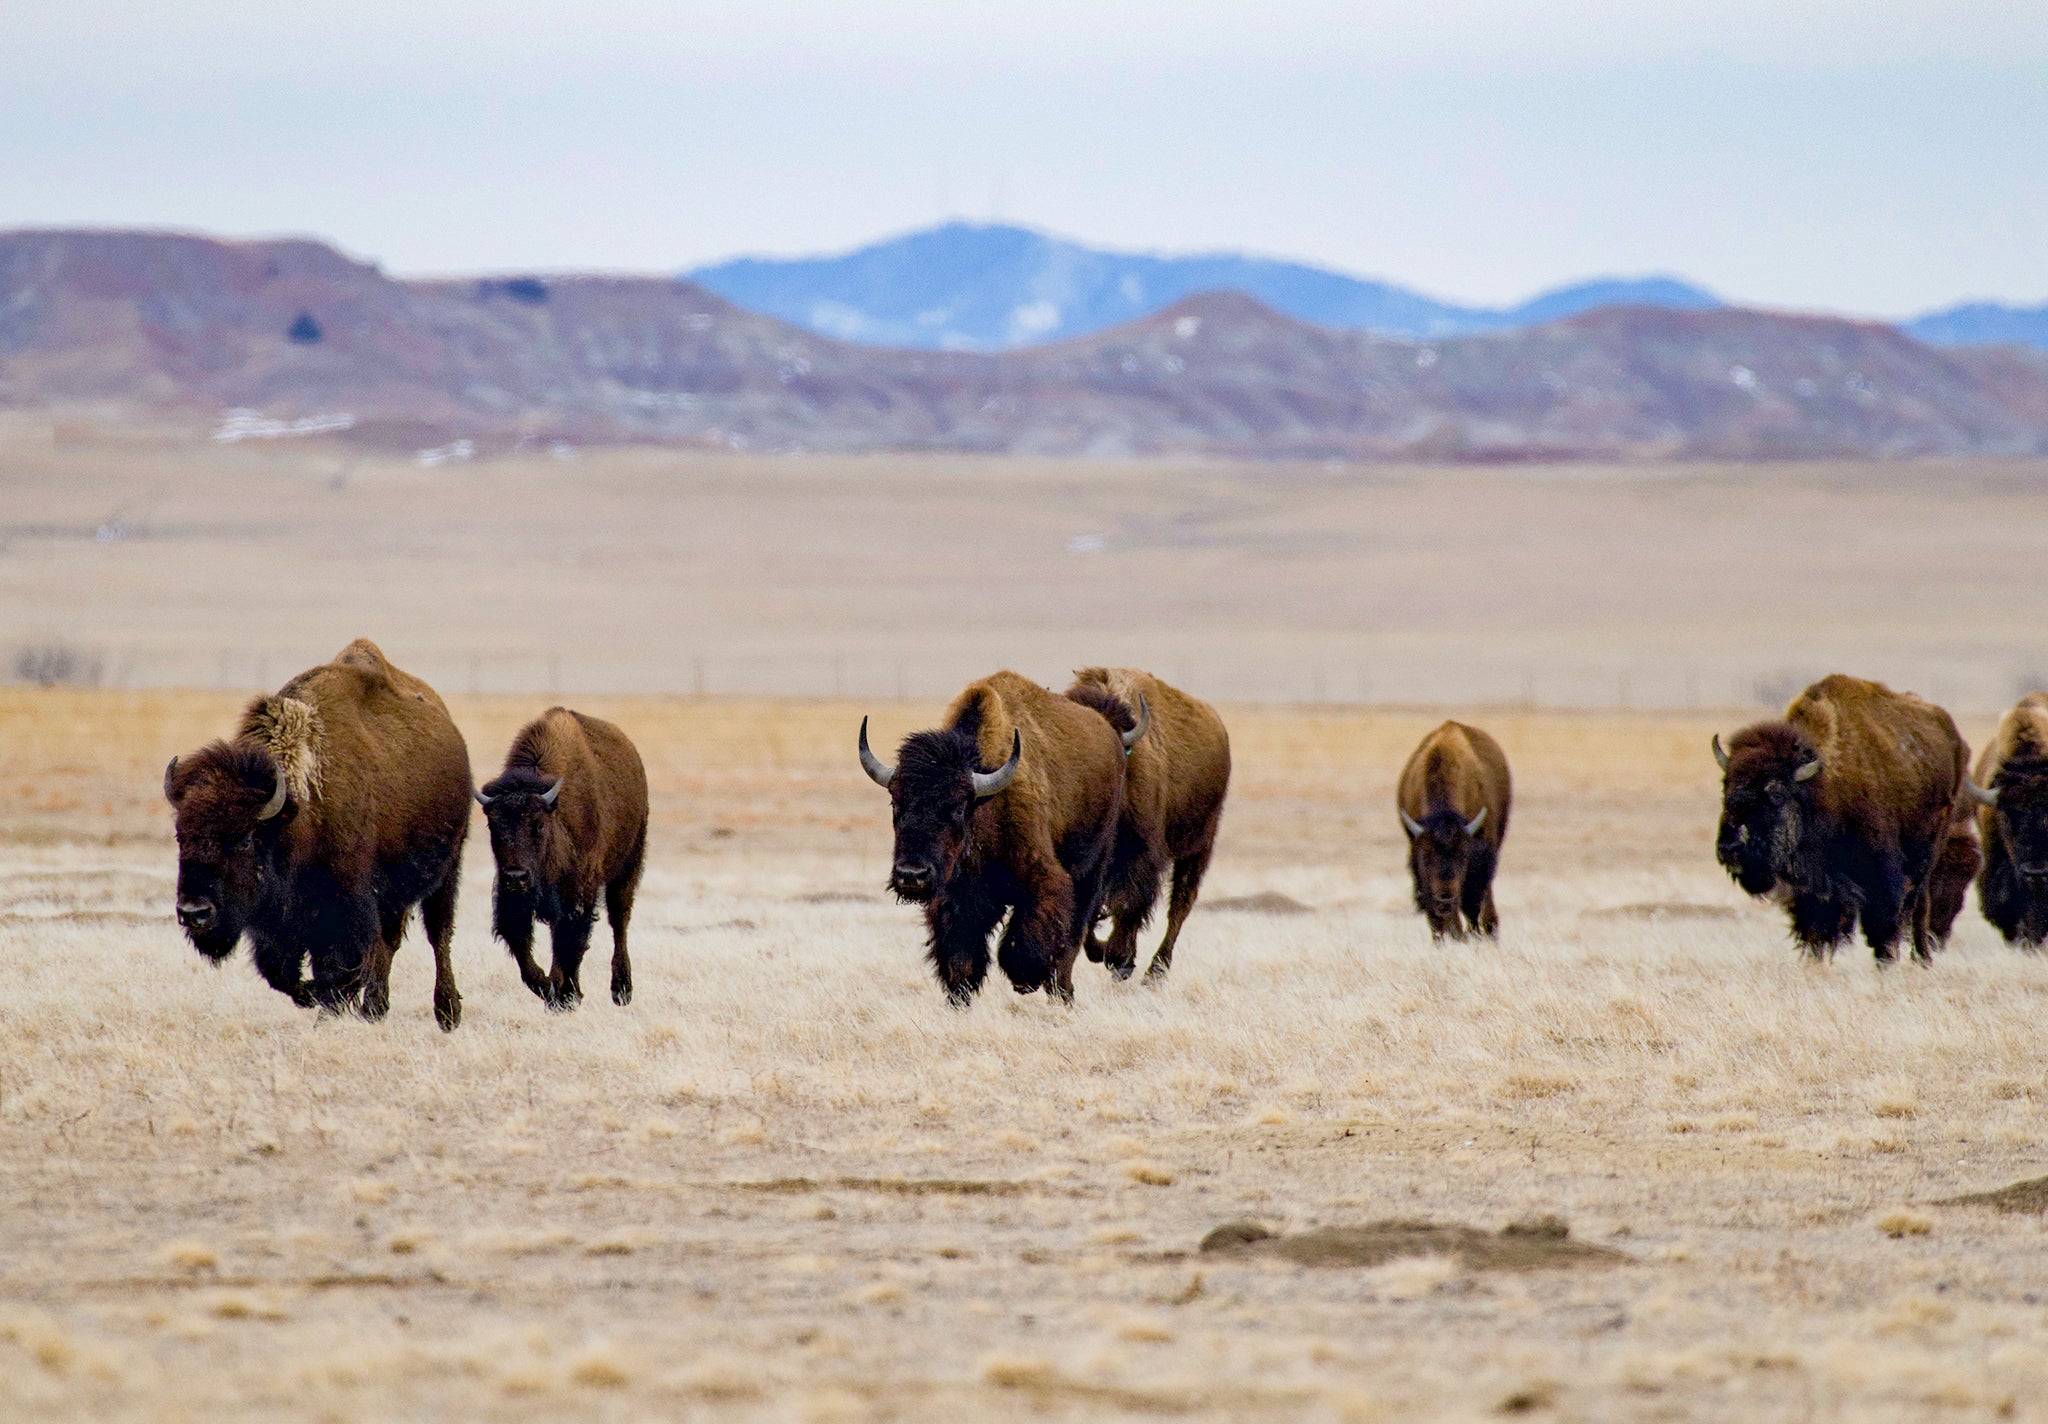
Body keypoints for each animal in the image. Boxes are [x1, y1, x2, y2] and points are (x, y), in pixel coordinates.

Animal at [161, 639, 473, 1028]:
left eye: (246, 839)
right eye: (180, 836)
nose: (194, 913)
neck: (296, 811)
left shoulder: (344, 908)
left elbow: (337, 967)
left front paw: (329, 1008)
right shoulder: (279, 925)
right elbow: (282, 973)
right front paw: (318, 998)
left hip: (448, 868)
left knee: (438, 935)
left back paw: (447, 1013)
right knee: (390, 940)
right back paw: (374, 1009)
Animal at [860, 672, 1130, 1008]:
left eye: (959, 807)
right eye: (895, 803)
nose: (912, 875)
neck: (986, 801)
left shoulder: (1042, 879)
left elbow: (1024, 942)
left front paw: (1024, 982)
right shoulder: (957, 897)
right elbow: (960, 954)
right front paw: (959, 998)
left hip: (1091, 867)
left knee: (1074, 931)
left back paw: (1062, 992)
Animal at [1064, 663, 1220, 979]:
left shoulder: (1143, 855)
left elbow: (1127, 904)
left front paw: (1118, 958)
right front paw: (1110, 954)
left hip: (1198, 847)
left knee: (1180, 905)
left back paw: (1154, 971)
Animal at [1712, 672, 1966, 962]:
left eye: (1776, 793)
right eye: (1725, 787)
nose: (1730, 847)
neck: (1820, 786)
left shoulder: (1881, 874)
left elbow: (1882, 925)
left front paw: (1886, 963)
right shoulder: (1813, 889)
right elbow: (1815, 928)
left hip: (1929, 849)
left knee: (1918, 902)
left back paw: (1921, 958)